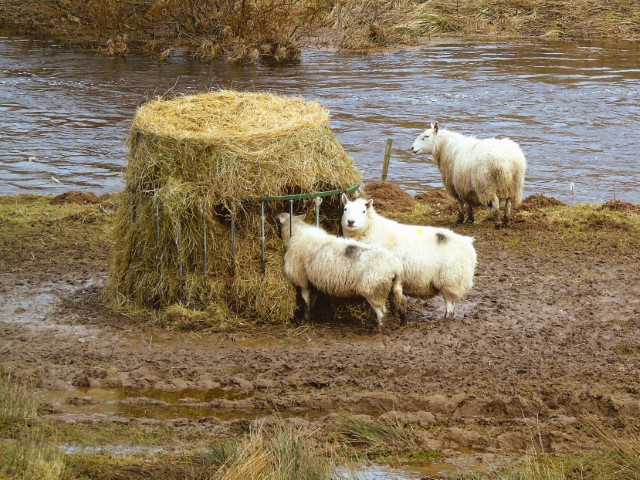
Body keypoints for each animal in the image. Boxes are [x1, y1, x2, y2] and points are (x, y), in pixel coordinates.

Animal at [274, 212, 404, 328]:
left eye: (278, 221)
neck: (297, 232)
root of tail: (395, 266)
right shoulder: (313, 280)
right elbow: (312, 299)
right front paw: (311, 313)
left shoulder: (302, 278)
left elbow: (305, 299)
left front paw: (305, 317)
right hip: (390, 288)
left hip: (373, 289)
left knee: (381, 312)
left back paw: (379, 327)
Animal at [340, 193, 476, 320]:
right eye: (345, 209)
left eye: (363, 211)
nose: (350, 222)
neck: (372, 229)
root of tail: (468, 243)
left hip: (450, 280)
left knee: (450, 304)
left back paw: (446, 318)